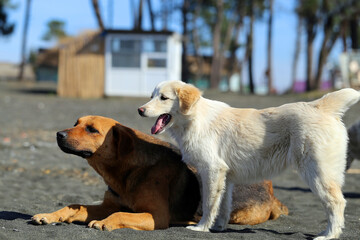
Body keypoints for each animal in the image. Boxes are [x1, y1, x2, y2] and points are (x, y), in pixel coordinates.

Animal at [32, 116, 288, 231]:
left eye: (92, 130)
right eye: (76, 123)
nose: (59, 135)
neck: (126, 173)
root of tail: (273, 192)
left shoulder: (155, 216)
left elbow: (119, 215)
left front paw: (105, 223)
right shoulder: (108, 204)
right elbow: (73, 206)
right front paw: (50, 215)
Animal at [139, 80, 360, 240]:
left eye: (164, 98)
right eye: (151, 97)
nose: (140, 110)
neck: (194, 118)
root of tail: (320, 107)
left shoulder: (212, 170)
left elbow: (209, 204)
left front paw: (202, 227)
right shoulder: (225, 177)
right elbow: (223, 206)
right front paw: (218, 227)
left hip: (317, 173)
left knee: (337, 203)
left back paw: (329, 235)